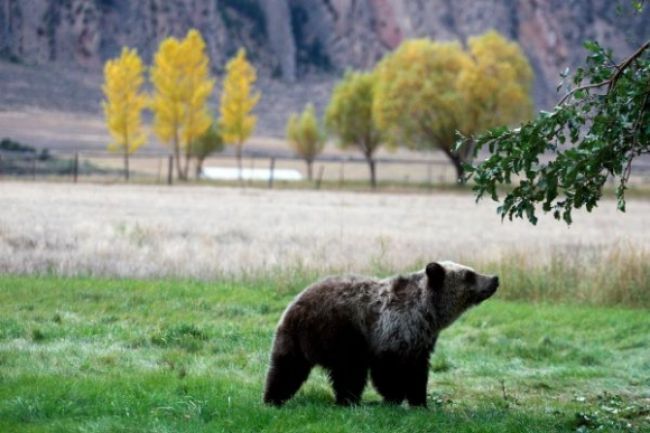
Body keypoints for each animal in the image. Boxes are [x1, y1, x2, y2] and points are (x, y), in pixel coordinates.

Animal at [260, 260, 498, 404]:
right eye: (469, 274)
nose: (494, 278)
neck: (429, 313)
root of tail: (297, 306)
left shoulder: (421, 341)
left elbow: (418, 372)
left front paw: (419, 401)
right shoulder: (392, 331)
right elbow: (389, 371)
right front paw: (394, 396)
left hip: (292, 339)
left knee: (286, 368)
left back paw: (273, 397)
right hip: (341, 332)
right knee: (349, 371)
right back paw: (348, 401)